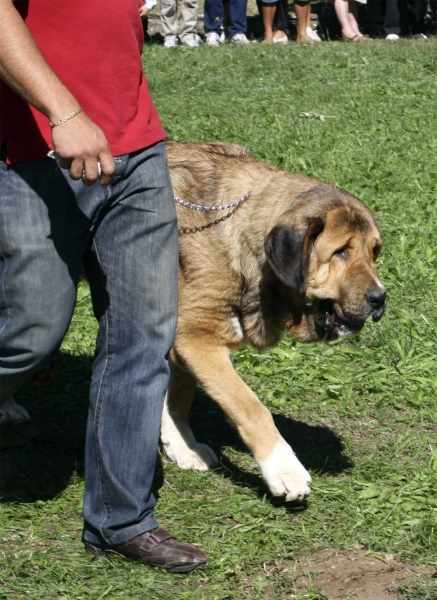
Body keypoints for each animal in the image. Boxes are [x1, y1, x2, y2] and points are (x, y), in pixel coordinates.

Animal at [160, 139, 384, 502]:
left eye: (374, 252)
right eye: (340, 252)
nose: (380, 298)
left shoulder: (185, 337)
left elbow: (178, 396)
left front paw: (182, 446)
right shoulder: (197, 338)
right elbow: (251, 407)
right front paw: (283, 469)